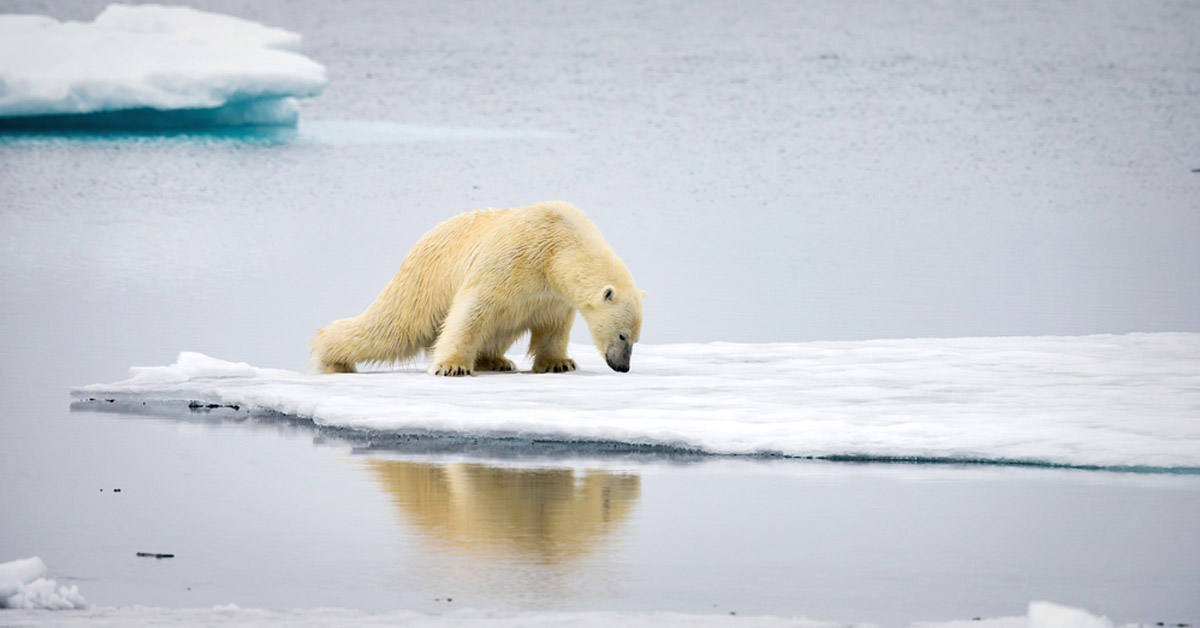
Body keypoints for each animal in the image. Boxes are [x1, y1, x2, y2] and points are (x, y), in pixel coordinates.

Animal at [312, 201, 643, 376]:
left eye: (636, 339)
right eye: (622, 335)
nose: (622, 367)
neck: (559, 245)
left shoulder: (552, 294)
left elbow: (553, 325)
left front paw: (559, 363)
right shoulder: (514, 258)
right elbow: (474, 308)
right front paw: (452, 367)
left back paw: (496, 360)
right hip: (423, 280)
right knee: (392, 328)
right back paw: (331, 358)